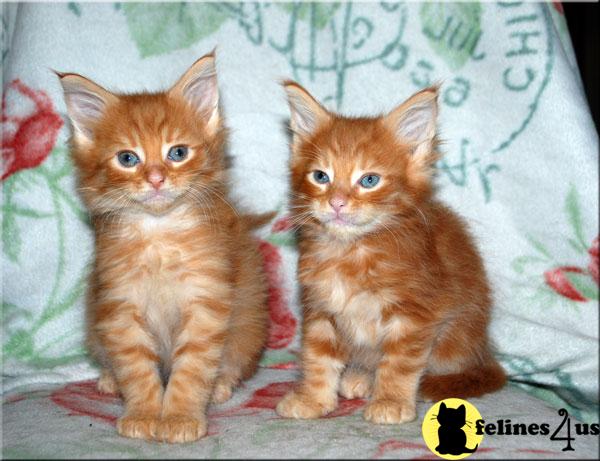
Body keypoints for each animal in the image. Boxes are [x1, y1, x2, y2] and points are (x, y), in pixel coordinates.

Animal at [57, 51, 268, 442]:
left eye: (178, 153)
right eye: (128, 159)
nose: (156, 179)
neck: (159, 237)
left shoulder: (205, 302)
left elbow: (192, 369)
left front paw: (180, 417)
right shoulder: (119, 305)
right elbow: (136, 368)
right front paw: (142, 412)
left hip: (250, 326)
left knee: (234, 360)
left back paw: (221, 386)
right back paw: (109, 380)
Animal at [276, 82, 506, 424]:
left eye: (369, 180)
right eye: (321, 177)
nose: (337, 202)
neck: (350, 253)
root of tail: (483, 349)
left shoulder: (415, 314)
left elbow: (399, 363)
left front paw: (391, 401)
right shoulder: (320, 309)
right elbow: (318, 358)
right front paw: (313, 399)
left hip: (455, 340)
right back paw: (359, 376)